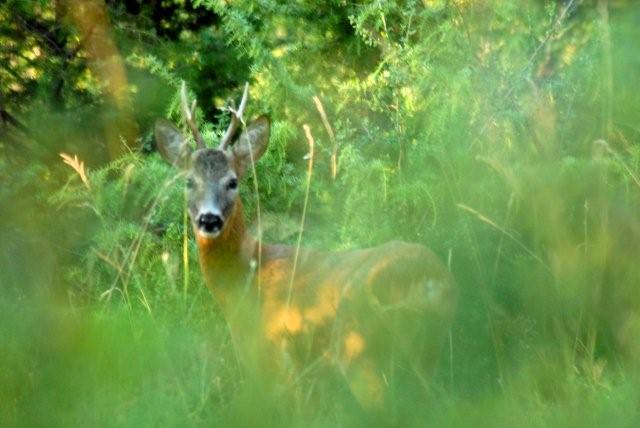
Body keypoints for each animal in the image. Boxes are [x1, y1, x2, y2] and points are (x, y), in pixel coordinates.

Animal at [154, 81, 456, 412]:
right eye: (189, 181)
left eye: (232, 182)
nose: (209, 219)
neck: (245, 277)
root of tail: (428, 277)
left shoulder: (278, 359)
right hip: (427, 352)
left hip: (359, 350)